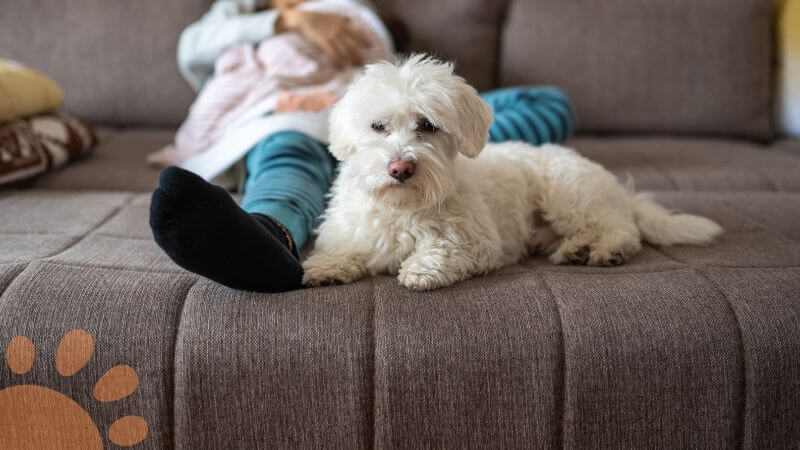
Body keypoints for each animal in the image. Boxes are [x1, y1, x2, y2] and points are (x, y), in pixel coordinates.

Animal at [302, 54, 724, 290]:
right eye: (378, 126)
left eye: (428, 125)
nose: (400, 167)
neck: (402, 207)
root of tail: (619, 192)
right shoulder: (350, 231)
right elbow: (343, 249)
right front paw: (326, 267)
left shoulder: (477, 241)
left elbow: (443, 249)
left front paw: (420, 268)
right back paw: (575, 249)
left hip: (569, 193)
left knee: (623, 230)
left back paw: (605, 250)